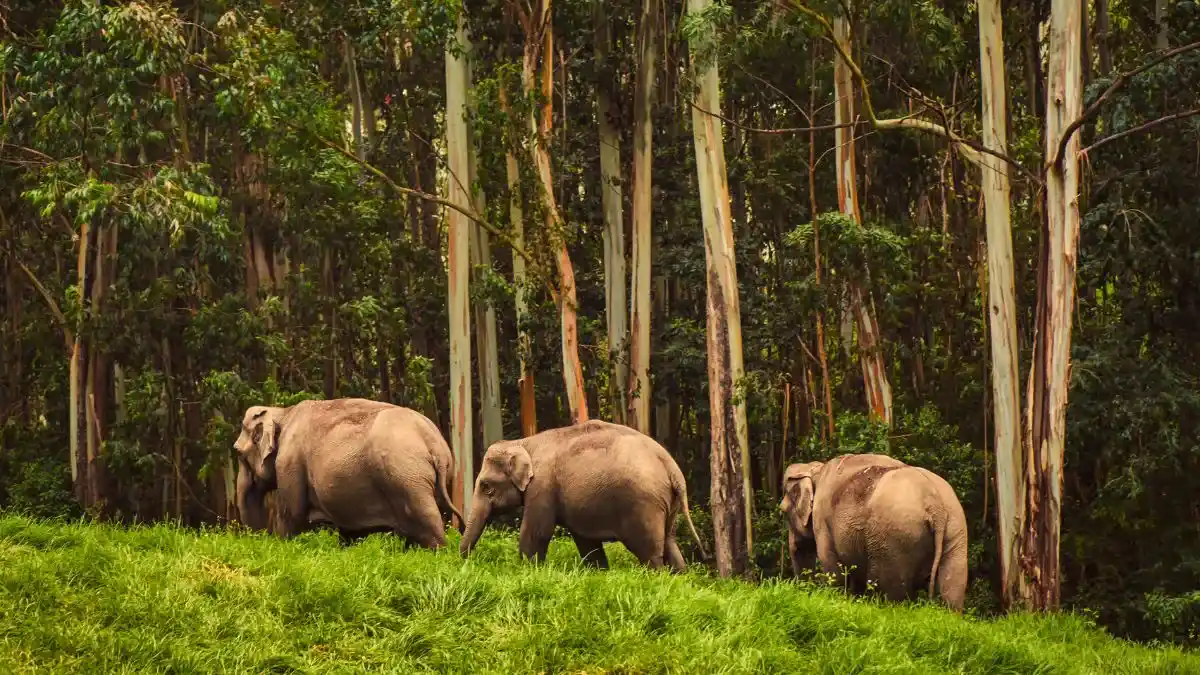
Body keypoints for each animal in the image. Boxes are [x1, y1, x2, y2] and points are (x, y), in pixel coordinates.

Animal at [232, 396, 463, 550]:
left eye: (238, 452)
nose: (259, 540)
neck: (283, 412)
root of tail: (435, 445)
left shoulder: (290, 464)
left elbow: (292, 516)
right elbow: (349, 531)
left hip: (407, 478)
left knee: (427, 523)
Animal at [456, 420, 700, 566]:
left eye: (486, 486)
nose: (466, 562)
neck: (524, 442)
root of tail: (671, 467)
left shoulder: (542, 486)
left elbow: (537, 532)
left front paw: (526, 569)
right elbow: (586, 542)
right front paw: (598, 572)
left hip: (644, 505)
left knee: (650, 552)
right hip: (668, 504)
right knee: (670, 544)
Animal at [782, 451, 969, 610]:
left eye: (782, 511)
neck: (817, 470)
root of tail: (935, 504)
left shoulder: (822, 520)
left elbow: (832, 568)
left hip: (895, 538)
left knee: (891, 590)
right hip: (955, 527)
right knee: (952, 586)